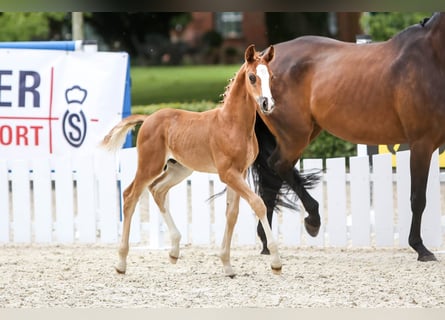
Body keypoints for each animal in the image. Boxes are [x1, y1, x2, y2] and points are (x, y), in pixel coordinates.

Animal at [102, 44, 280, 278]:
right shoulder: (227, 173)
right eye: (252, 77)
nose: (267, 104)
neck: (232, 124)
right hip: (150, 166)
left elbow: (232, 213)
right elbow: (258, 204)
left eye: (271, 76)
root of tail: (148, 118)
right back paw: (121, 263)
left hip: (180, 169)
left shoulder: (239, 172)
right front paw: (276, 262)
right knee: (130, 195)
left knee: (157, 190)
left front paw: (227, 265)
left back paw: (174, 251)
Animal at [253, 13, 444, 262]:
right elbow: (418, 198)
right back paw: (312, 221)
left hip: (300, 134)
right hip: (295, 135)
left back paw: (267, 242)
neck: (433, 56)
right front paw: (421, 248)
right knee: (278, 167)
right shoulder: (422, 143)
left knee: (273, 176)